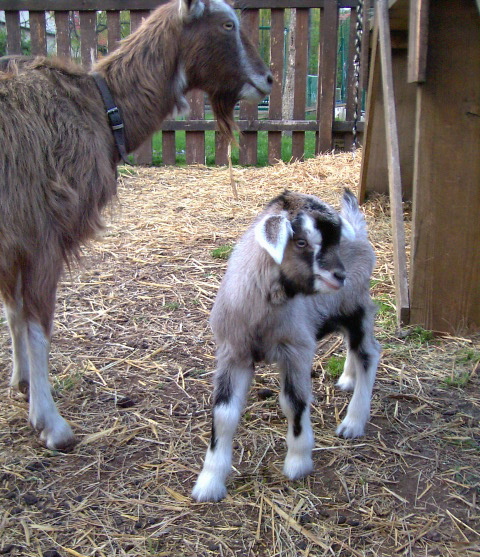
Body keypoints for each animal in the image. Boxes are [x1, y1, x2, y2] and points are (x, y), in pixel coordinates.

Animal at [0, 0, 270, 448]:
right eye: (227, 24)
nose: (267, 79)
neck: (100, 108)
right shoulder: (41, 235)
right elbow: (37, 320)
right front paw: (51, 423)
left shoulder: (16, 245)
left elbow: (14, 311)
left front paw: (21, 383)